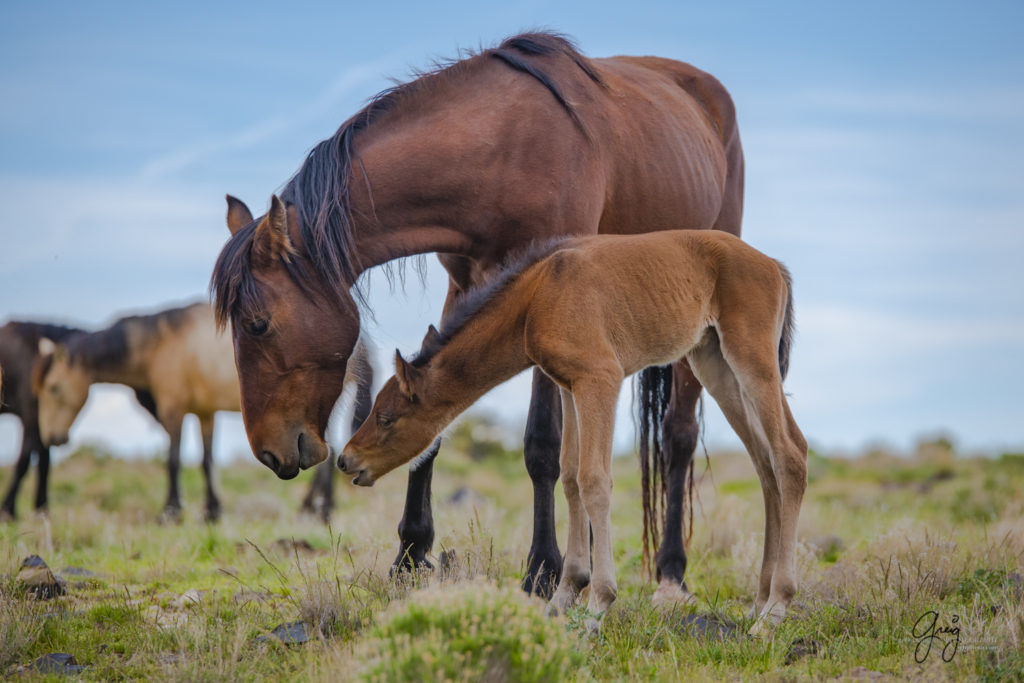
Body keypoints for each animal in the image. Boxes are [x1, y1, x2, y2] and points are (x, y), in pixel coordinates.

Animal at [211, 31, 749, 598]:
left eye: (258, 324)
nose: (268, 452)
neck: (500, 153)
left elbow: (542, 443)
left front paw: (542, 569)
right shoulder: (464, 284)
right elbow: (430, 420)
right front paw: (409, 555)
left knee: (678, 437)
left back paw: (671, 570)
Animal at [342, 231, 806, 634]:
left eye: (386, 418)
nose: (347, 459)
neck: (540, 294)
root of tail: (774, 265)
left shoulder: (600, 380)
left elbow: (594, 480)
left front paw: (598, 605)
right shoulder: (569, 387)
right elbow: (569, 478)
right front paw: (564, 598)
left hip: (751, 361)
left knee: (790, 456)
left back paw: (776, 609)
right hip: (715, 365)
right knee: (765, 464)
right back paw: (759, 603)